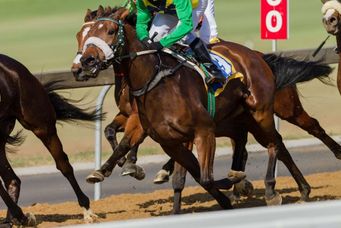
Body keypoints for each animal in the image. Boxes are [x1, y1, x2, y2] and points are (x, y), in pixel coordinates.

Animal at [0, 54, 100, 226]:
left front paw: (25, 217)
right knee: (11, 179)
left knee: (63, 164)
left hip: (42, 125)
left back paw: (86, 210)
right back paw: (11, 220)